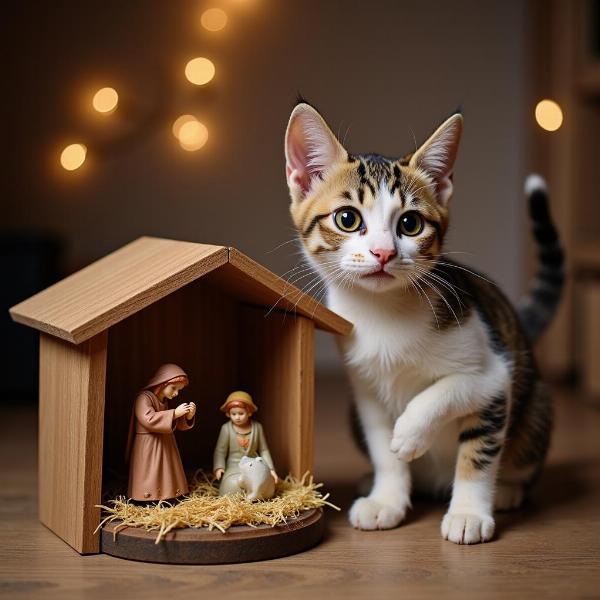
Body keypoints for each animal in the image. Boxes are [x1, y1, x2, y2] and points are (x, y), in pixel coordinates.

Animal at [284, 102, 564, 544]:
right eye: (347, 218)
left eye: (410, 224)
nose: (383, 252)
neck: (384, 314)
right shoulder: (365, 390)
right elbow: (383, 447)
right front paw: (387, 499)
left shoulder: (494, 374)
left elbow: (458, 412)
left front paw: (466, 510)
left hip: (533, 403)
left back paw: (508, 488)